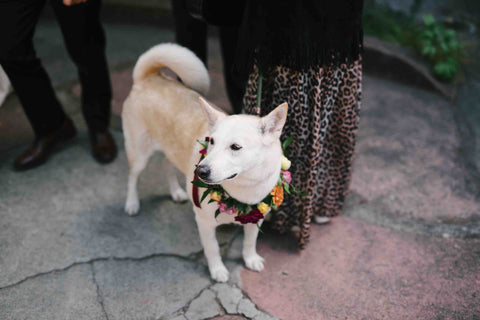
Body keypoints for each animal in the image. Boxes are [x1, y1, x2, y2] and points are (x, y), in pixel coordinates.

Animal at [124, 43, 286, 282]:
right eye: (211, 141)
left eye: (235, 147)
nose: (201, 171)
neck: (243, 190)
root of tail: (149, 77)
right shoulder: (204, 222)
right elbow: (212, 249)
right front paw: (217, 270)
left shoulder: (256, 218)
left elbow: (249, 242)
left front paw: (250, 259)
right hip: (139, 154)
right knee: (133, 177)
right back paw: (132, 203)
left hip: (169, 148)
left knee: (166, 165)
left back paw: (176, 192)